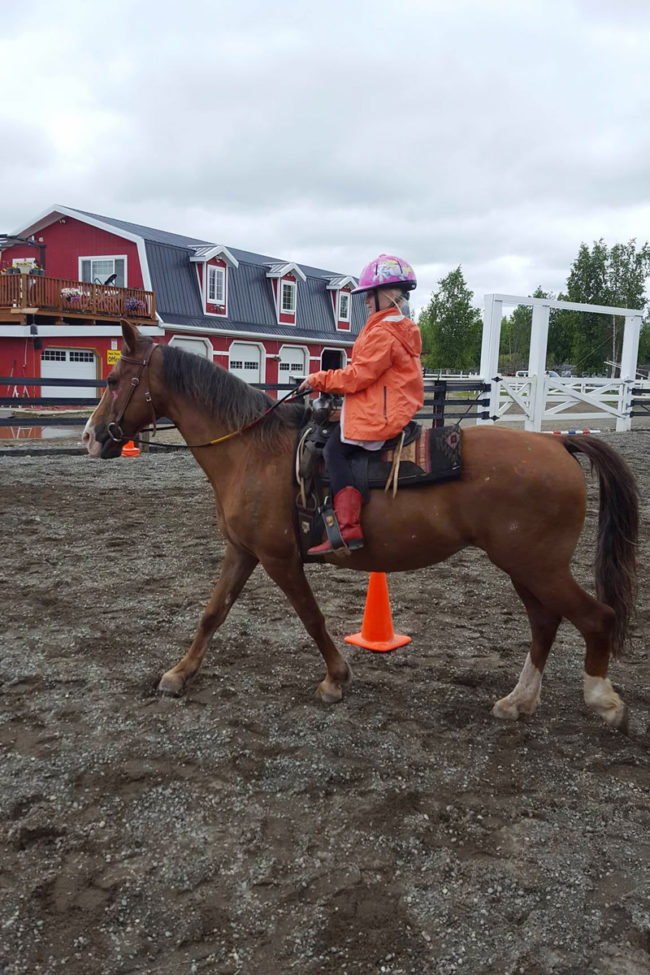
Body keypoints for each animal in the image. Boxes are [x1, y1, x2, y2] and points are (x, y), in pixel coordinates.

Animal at [83, 322, 639, 732]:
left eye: (112, 382)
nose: (90, 437)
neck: (253, 451)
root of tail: (558, 443)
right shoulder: (242, 551)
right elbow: (211, 614)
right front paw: (179, 674)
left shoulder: (279, 558)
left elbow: (311, 617)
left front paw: (336, 679)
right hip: (526, 567)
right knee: (545, 622)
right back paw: (519, 701)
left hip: (537, 565)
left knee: (596, 617)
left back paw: (603, 701)